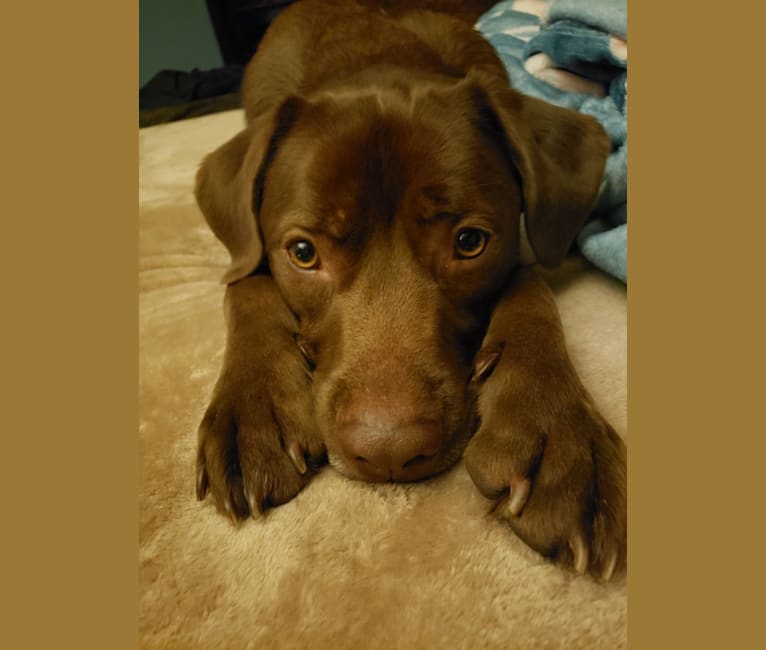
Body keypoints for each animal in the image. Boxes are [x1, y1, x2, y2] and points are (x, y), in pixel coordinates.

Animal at [195, 0, 628, 576]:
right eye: (304, 253)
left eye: (469, 242)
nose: (388, 452)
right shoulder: (250, 250)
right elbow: (243, 284)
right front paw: (253, 409)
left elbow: (531, 284)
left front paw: (558, 432)